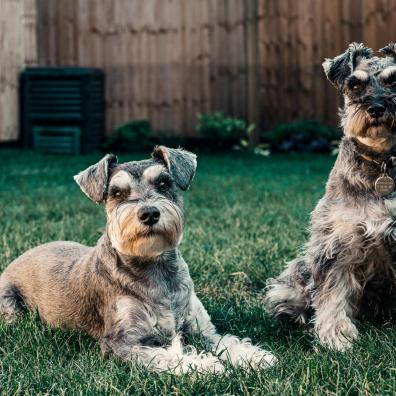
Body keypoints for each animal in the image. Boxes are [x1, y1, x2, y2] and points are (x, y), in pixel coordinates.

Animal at [0, 146, 276, 374]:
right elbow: (166, 356)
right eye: (116, 192)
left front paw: (254, 357)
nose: (149, 213)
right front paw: (204, 365)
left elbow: (226, 341)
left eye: (164, 182)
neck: (155, 268)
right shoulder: (121, 343)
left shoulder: (201, 329)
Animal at [264, 42, 396, 350]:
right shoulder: (338, 242)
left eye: (394, 80)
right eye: (354, 85)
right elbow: (333, 291)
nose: (376, 108)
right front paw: (337, 336)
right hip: (298, 273)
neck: (381, 162)